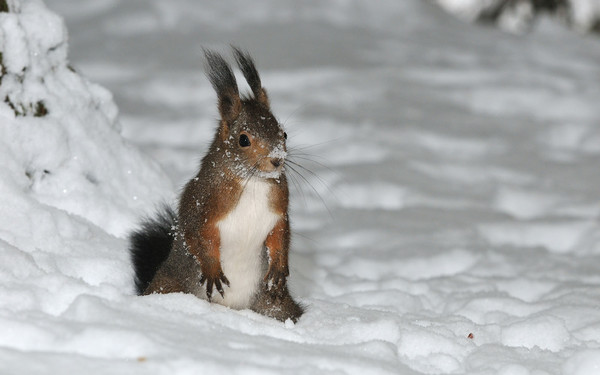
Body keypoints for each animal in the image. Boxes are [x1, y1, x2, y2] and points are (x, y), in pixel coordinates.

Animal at [127, 47, 304, 324]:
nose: (277, 160)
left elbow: (281, 234)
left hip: (272, 303)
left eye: (283, 134)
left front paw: (278, 268)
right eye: (243, 139)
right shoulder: (202, 202)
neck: (253, 181)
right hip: (171, 285)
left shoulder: (279, 207)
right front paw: (212, 269)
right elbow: (199, 235)